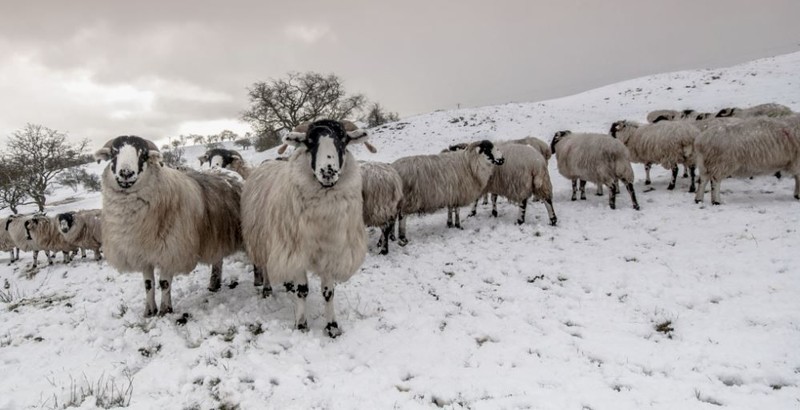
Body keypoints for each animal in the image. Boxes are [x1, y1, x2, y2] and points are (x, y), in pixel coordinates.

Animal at [94, 136, 244, 316]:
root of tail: (225, 171)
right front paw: (149, 311)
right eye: (114, 153)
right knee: (218, 259)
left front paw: (165, 310)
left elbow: (164, 282)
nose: (126, 173)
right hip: (217, 236)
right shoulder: (142, 254)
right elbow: (148, 284)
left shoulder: (170, 250)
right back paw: (214, 284)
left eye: (143, 154)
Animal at [242, 117, 370, 336]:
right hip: (263, 239)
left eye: (343, 139)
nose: (328, 171)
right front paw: (301, 325)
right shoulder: (296, 252)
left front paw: (332, 327)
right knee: (266, 267)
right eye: (309, 141)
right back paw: (267, 289)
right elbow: (302, 291)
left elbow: (329, 292)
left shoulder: (330, 253)